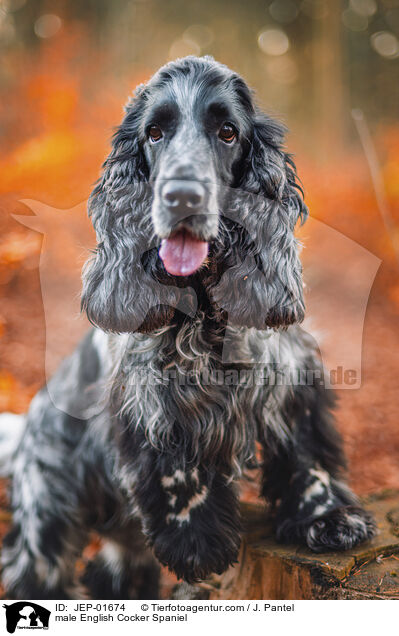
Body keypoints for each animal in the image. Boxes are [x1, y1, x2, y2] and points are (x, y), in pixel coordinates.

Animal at [0, 57, 376, 600]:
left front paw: (328, 518)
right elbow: (177, 468)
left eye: (228, 132)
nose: (182, 196)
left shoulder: (291, 376)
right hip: (46, 511)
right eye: (154, 132)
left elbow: (307, 453)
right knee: (39, 564)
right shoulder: (152, 394)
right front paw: (198, 543)